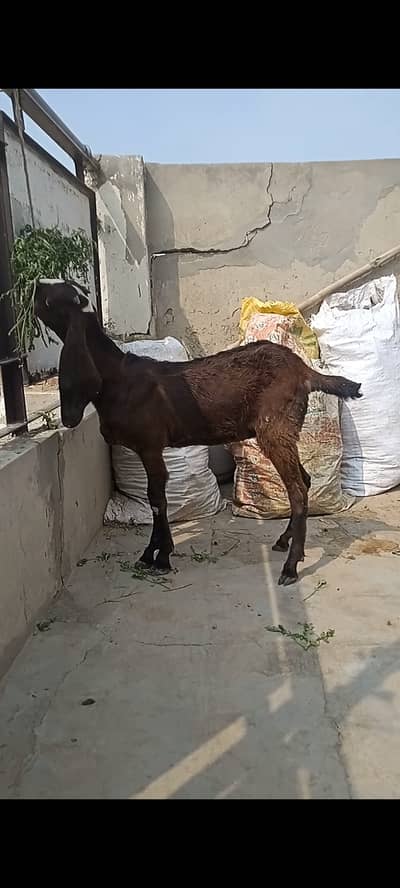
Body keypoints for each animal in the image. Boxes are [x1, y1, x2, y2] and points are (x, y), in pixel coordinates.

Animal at [34, 279, 362, 586]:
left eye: (52, 298)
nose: (35, 286)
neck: (118, 376)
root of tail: (304, 371)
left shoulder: (150, 445)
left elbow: (157, 498)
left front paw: (159, 556)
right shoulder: (149, 448)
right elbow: (156, 497)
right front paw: (152, 554)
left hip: (275, 428)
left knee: (297, 490)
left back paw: (291, 567)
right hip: (283, 432)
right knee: (304, 481)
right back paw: (285, 542)